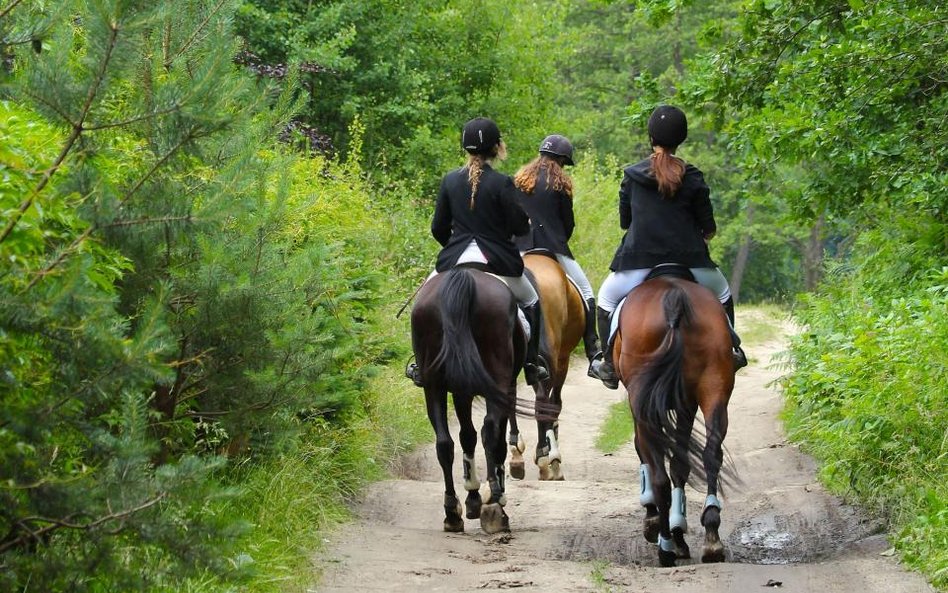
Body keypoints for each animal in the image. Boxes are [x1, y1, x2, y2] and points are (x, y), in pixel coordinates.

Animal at [410, 266, 532, 536]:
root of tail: (464, 276)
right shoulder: (502, 388)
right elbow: (493, 439)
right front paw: (488, 497)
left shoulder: (459, 391)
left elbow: (466, 436)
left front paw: (473, 498)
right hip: (498, 379)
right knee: (490, 432)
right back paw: (496, 504)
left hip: (433, 385)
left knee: (444, 444)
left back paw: (452, 513)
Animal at [512, 253, 584, 480]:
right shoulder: (562, 360)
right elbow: (555, 404)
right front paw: (553, 458)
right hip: (555, 359)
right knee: (544, 401)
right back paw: (543, 457)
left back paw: (516, 455)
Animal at [612, 270, 736, 568]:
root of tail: (673, 298)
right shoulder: (686, 404)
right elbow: (680, 464)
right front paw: (680, 532)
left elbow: (643, 451)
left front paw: (655, 522)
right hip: (714, 387)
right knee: (711, 454)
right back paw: (711, 537)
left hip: (645, 400)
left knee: (659, 476)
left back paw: (665, 546)